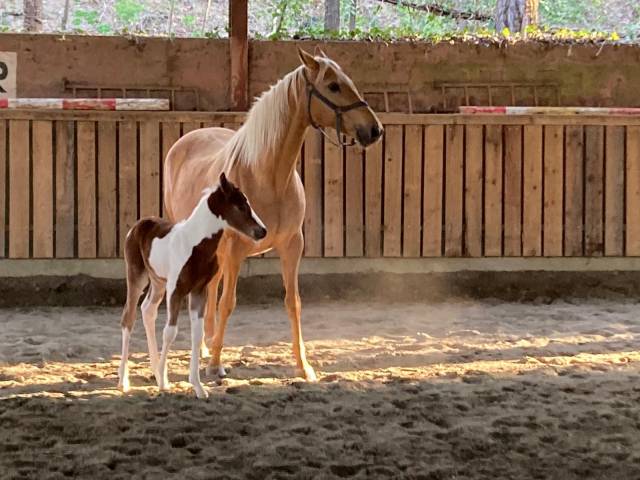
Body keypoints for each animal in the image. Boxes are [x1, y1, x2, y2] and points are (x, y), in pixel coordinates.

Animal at [118, 173, 267, 398]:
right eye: (240, 206)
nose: (262, 231)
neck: (196, 244)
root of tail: (138, 225)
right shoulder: (176, 290)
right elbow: (170, 332)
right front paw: (164, 383)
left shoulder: (198, 291)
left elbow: (198, 335)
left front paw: (198, 387)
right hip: (137, 277)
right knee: (129, 317)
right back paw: (124, 381)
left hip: (158, 282)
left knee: (147, 310)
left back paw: (155, 371)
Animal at [163, 47, 383, 381]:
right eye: (333, 86)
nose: (374, 130)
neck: (268, 177)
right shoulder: (237, 251)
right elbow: (228, 302)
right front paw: (215, 364)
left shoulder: (292, 245)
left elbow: (293, 302)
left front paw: (304, 366)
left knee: (209, 289)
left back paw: (206, 343)